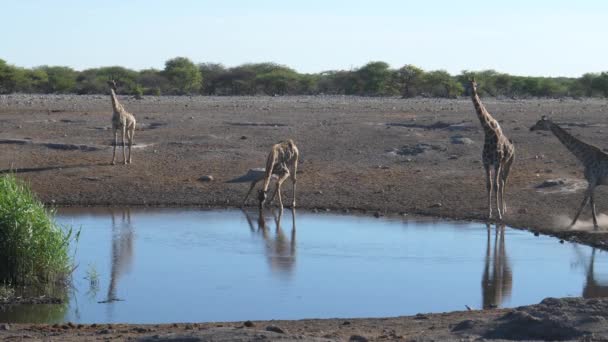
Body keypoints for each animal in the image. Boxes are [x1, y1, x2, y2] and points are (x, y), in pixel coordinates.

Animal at [470, 79, 512, 220]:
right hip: (502, 164)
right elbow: (488, 185)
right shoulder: (486, 163)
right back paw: (503, 208)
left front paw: (498, 213)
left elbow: (496, 186)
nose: (472, 91)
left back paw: (503, 209)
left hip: (509, 162)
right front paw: (489, 212)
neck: (488, 132)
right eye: (467, 84)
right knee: (502, 181)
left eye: (475, 84)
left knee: (503, 181)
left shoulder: (497, 163)